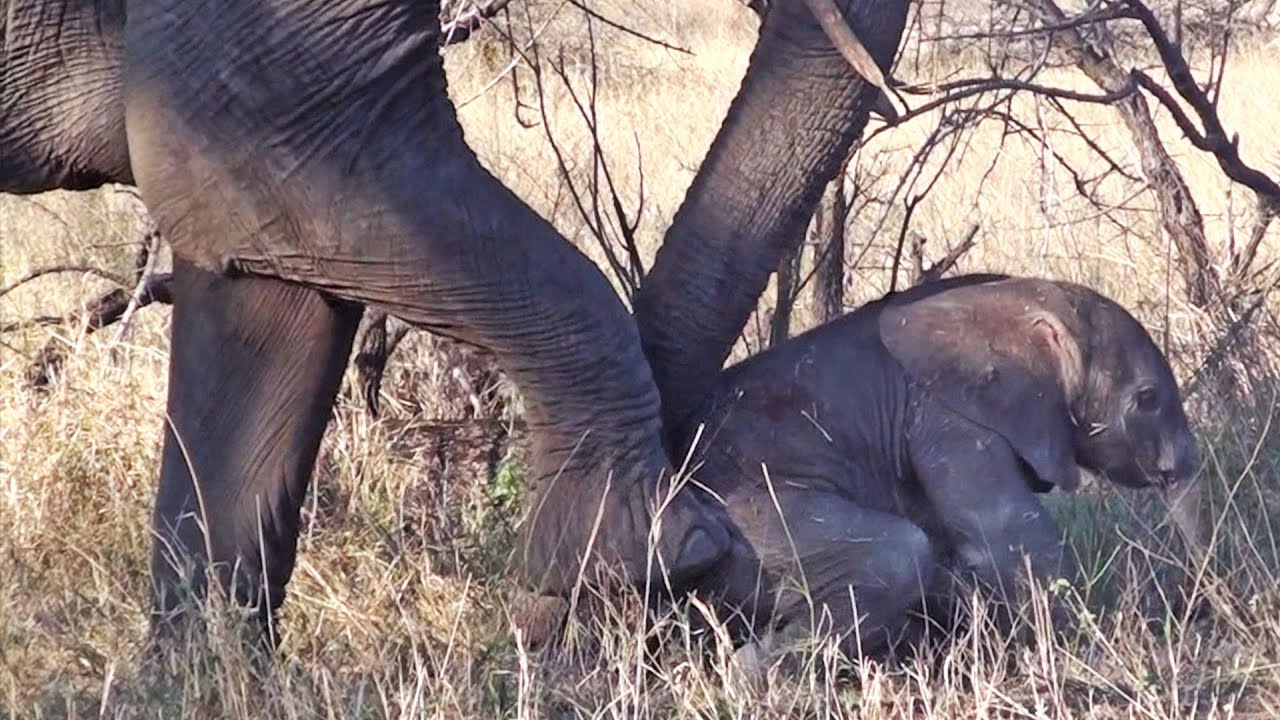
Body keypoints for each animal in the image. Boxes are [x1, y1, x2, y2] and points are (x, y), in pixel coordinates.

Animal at [664, 274, 1202, 660]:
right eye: (1147, 400)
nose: (1194, 606)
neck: (1019, 297)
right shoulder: (949, 416)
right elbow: (1010, 537)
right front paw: (1091, 647)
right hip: (746, 512)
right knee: (899, 554)